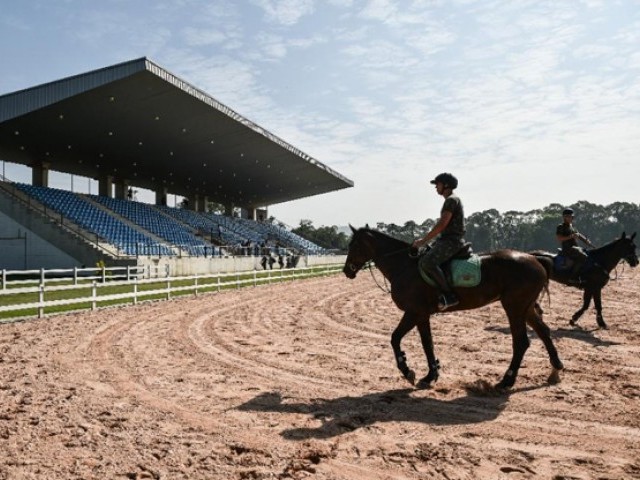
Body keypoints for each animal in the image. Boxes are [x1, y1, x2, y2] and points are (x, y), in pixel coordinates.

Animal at [342, 226, 564, 390]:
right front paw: (430, 375)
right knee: (543, 332)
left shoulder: (414, 312)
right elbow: (427, 344)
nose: (346, 271)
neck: (404, 266)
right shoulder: (422, 315)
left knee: (521, 342)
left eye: (354, 245)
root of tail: (534, 259)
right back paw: (555, 370)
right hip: (526, 308)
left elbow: (396, 338)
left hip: (514, 307)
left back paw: (506, 380)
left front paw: (407, 370)